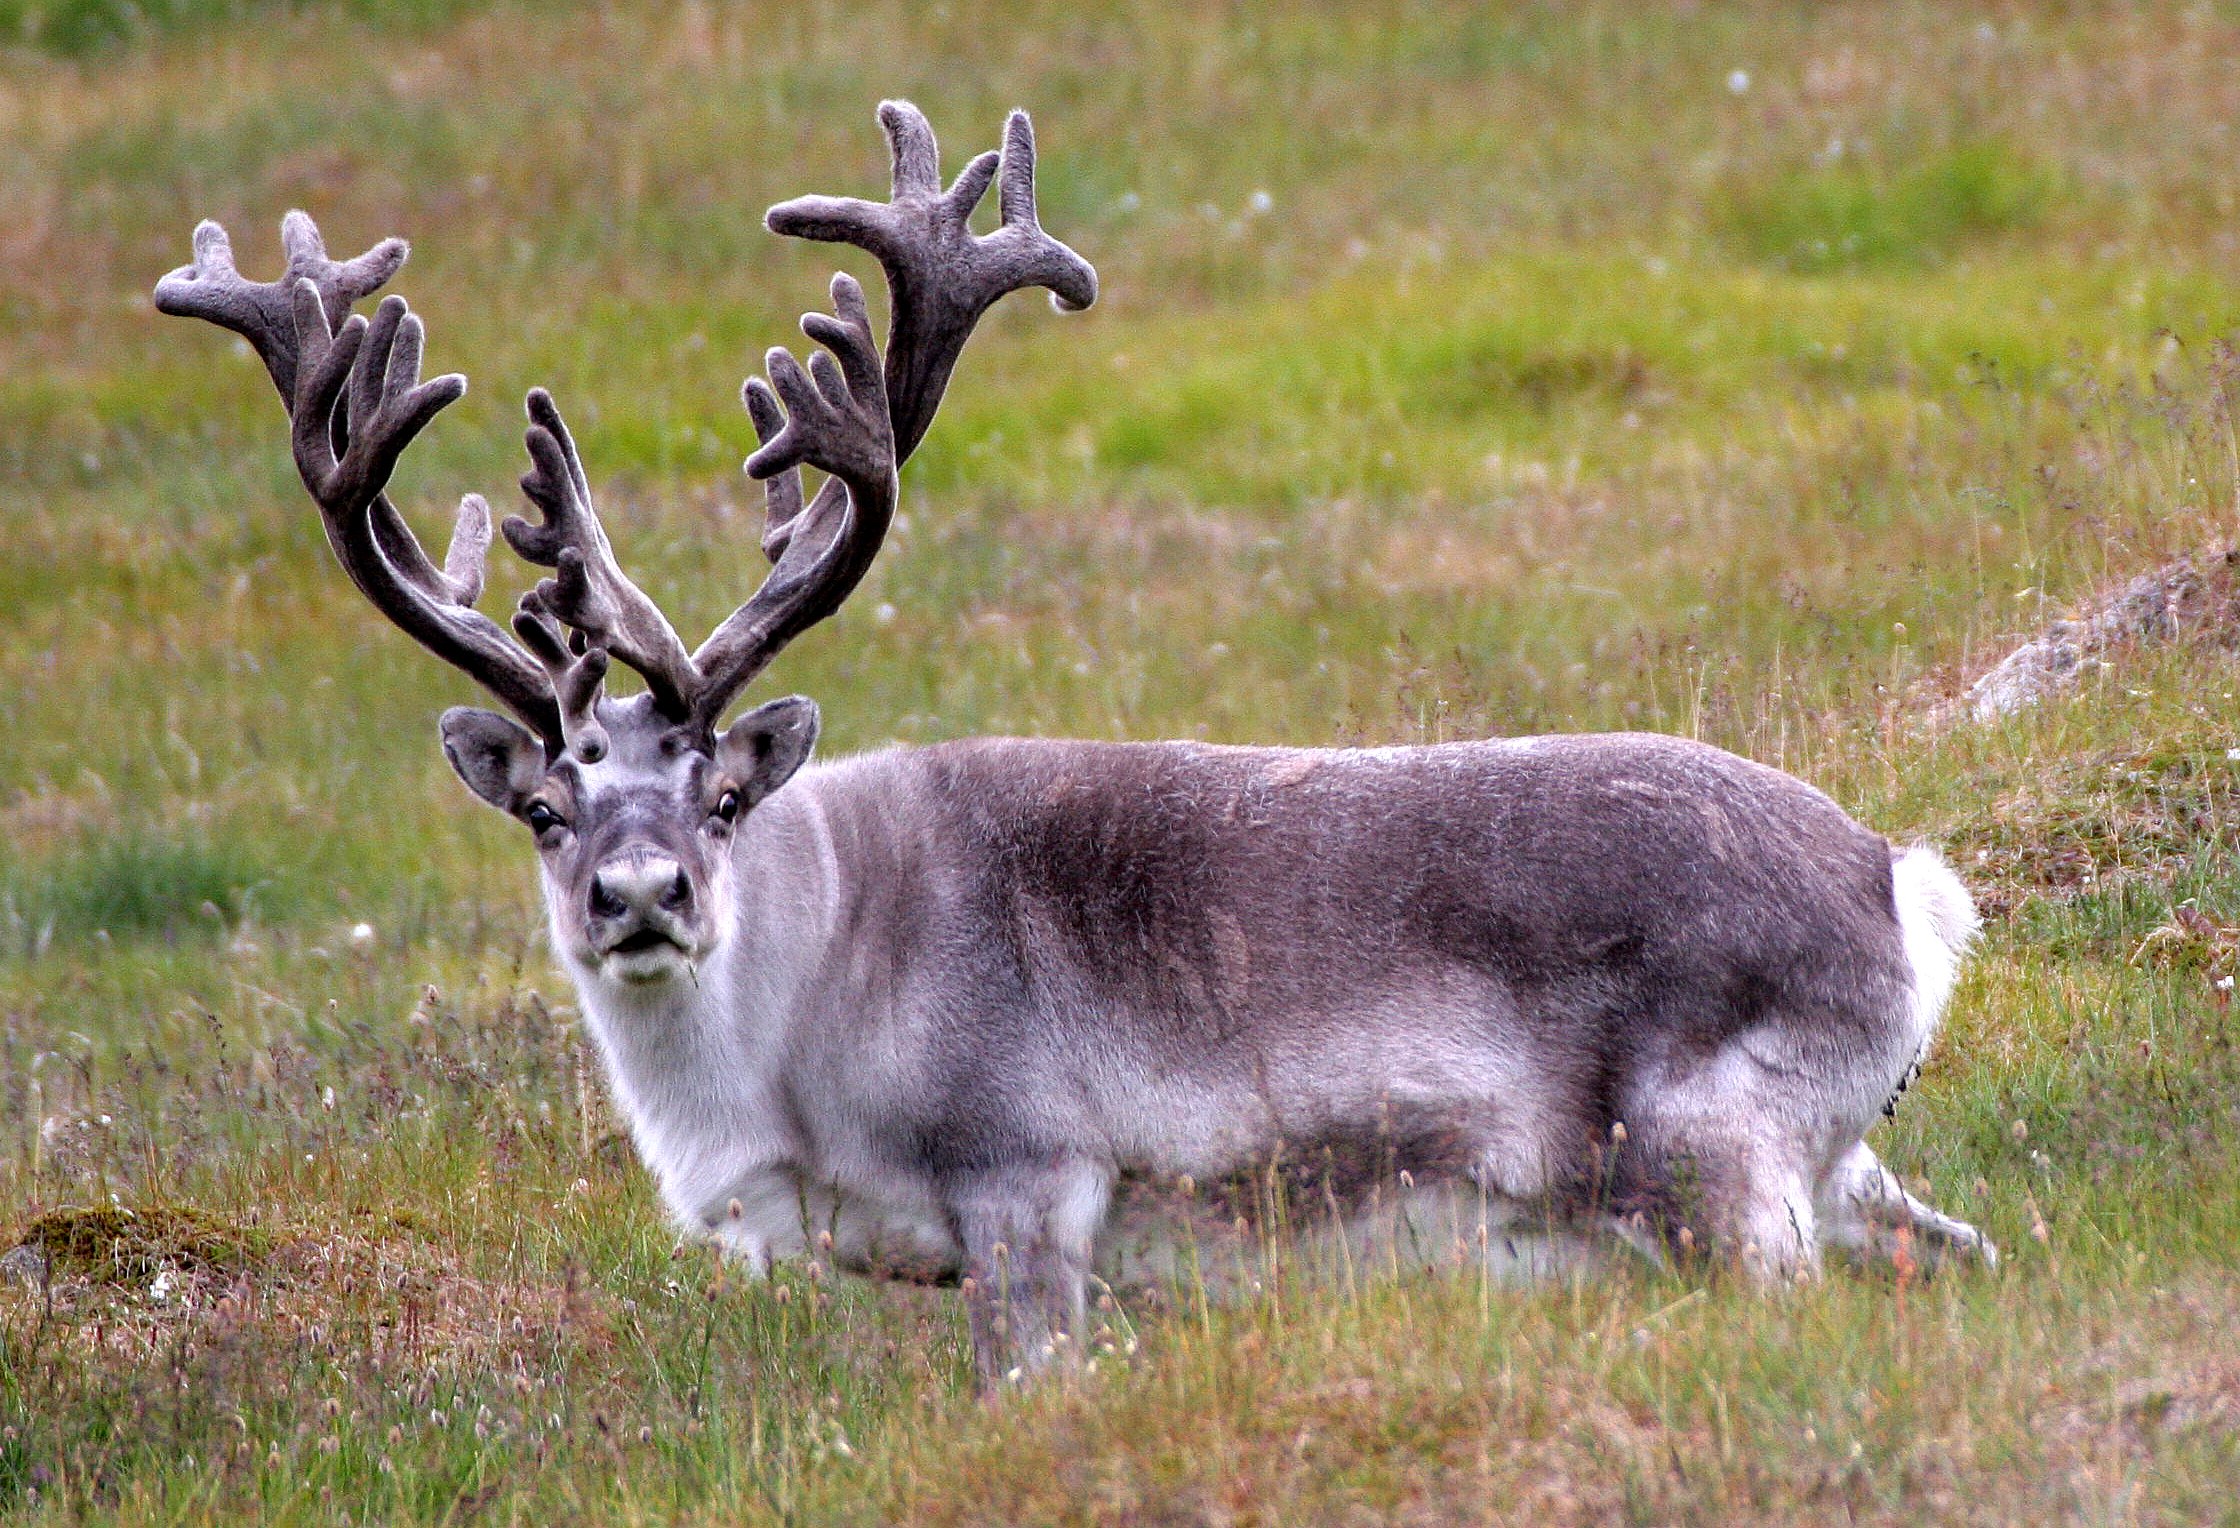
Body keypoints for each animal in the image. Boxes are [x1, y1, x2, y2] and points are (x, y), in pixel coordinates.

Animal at [157, 100, 1994, 1387]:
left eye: (717, 791)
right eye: (545, 805)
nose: (640, 897)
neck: (805, 1007)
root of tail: (1896, 877)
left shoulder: (1029, 1187)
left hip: (1712, 1168)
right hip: (1837, 1167)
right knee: (1962, 1248)